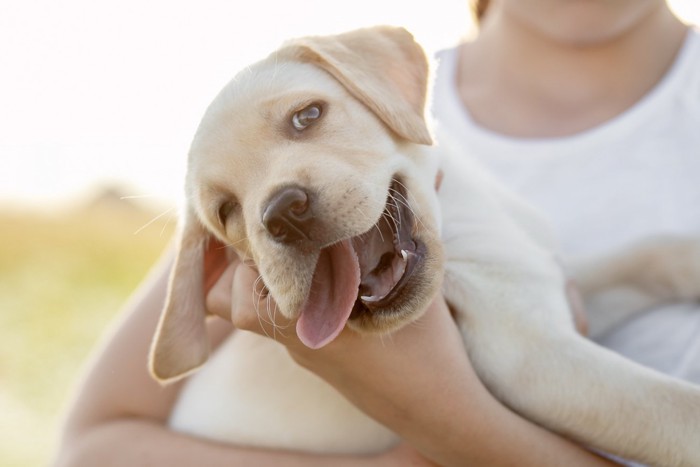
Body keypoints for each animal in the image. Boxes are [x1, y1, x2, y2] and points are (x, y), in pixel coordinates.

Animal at [148, 26, 700, 467]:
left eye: (307, 116)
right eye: (225, 210)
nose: (281, 213)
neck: (457, 217)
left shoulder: (554, 282)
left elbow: (651, 254)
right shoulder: (533, 357)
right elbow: (674, 408)